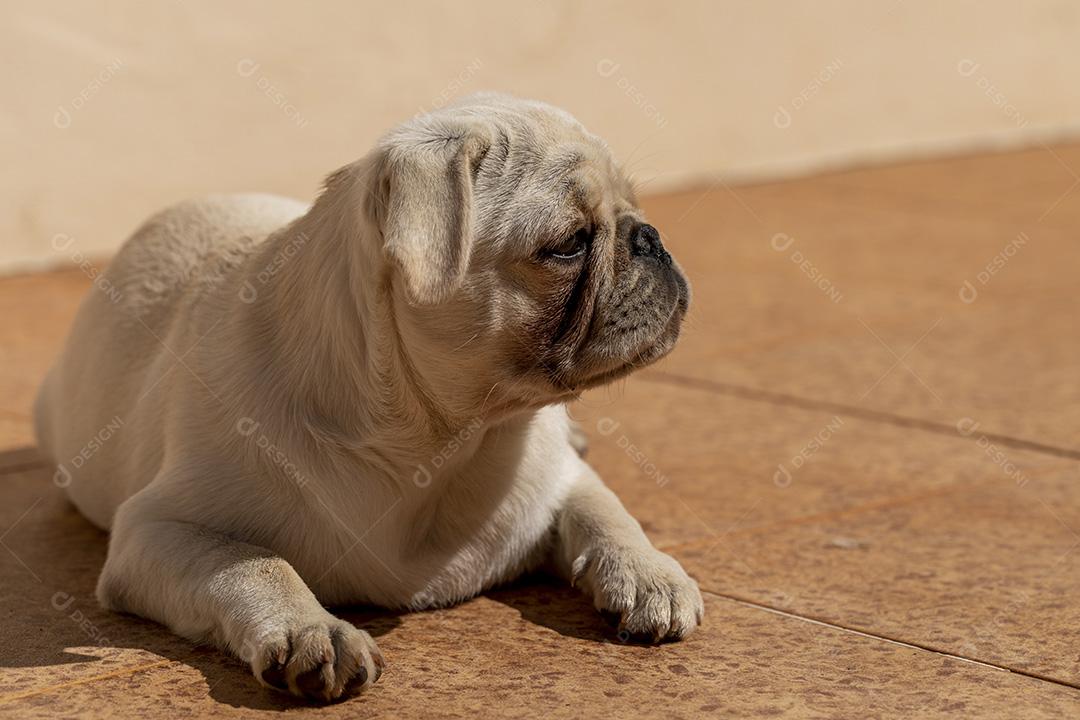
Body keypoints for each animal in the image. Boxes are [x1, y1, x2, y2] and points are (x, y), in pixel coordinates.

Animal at [35, 92, 699, 699]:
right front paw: (313, 631)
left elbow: (605, 511)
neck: (438, 440)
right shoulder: (158, 530)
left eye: (636, 210)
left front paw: (649, 574)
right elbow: (255, 565)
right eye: (569, 243)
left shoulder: (558, 478)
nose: (651, 238)